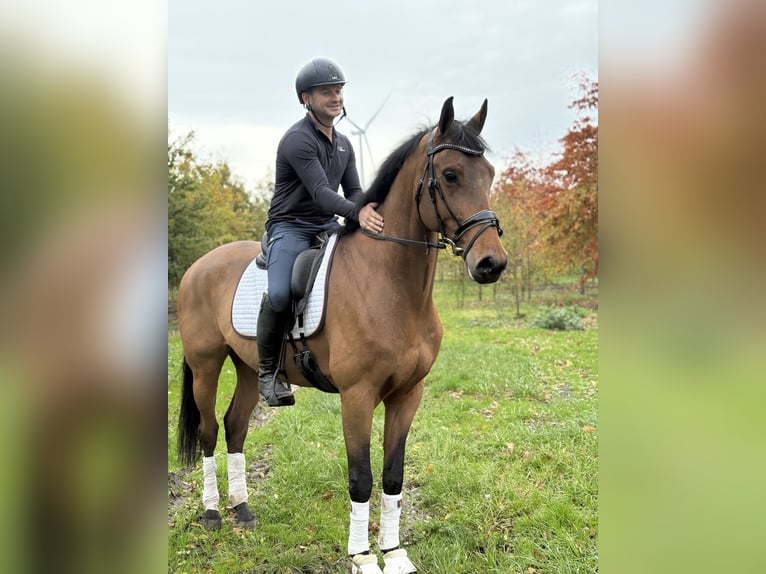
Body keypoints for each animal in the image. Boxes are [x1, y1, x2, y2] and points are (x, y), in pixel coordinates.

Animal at [176, 97, 508, 574]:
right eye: (450, 175)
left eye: (490, 174)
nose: (491, 264)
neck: (392, 286)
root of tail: (197, 267)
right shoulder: (358, 396)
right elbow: (360, 477)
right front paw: (363, 557)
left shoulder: (408, 394)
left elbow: (393, 475)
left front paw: (394, 552)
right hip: (206, 365)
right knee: (207, 431)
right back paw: (213, 513)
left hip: (248, 368)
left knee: (235, 427)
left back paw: (243, 509)